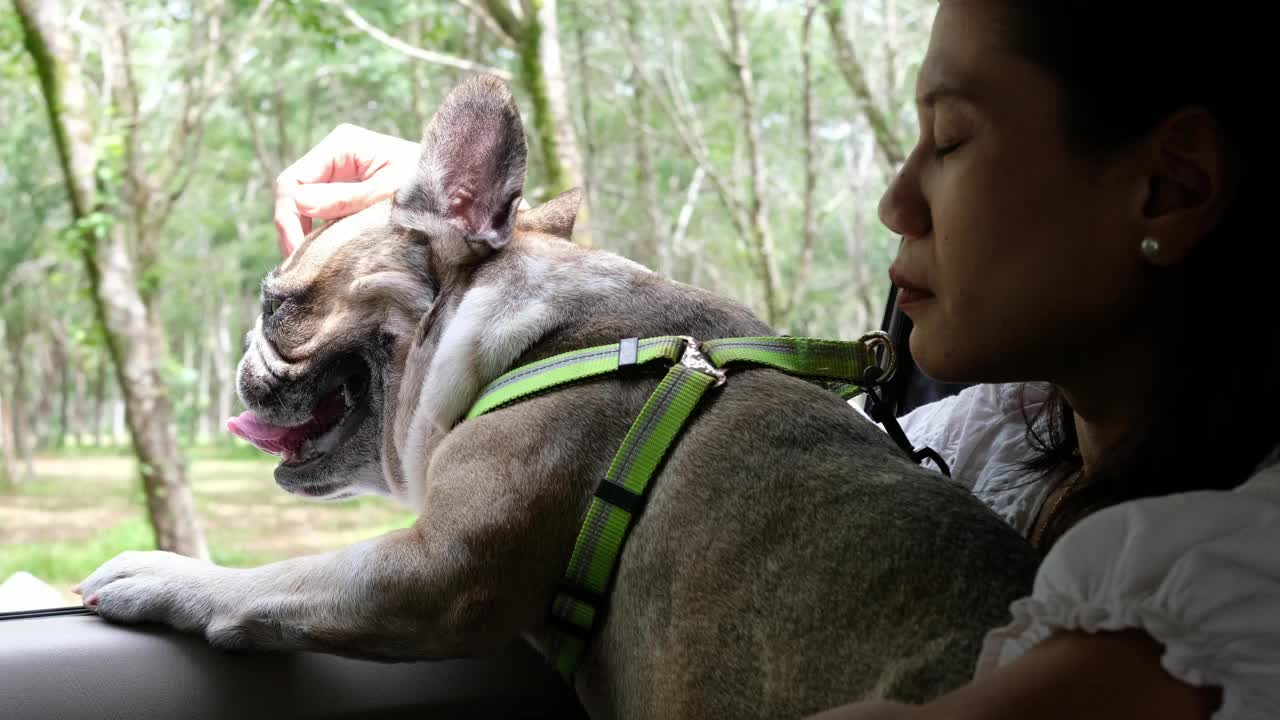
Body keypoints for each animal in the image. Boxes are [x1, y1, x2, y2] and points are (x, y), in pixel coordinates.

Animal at [77, 77, 1039, 717]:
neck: (520, 339)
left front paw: (165, 575)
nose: (243, 358)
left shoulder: (438, 572)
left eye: (280, 306)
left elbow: (285, 580)